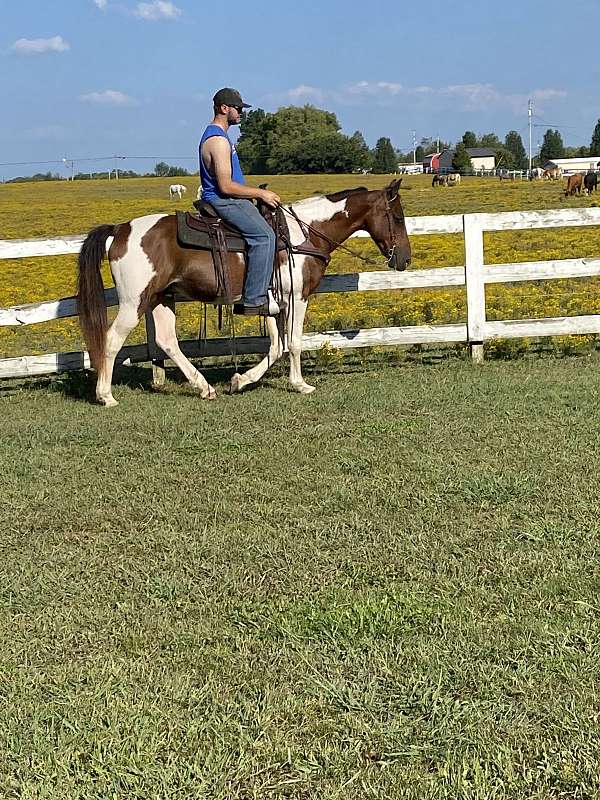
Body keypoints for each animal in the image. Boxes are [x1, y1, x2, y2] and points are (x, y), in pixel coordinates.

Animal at [77, 181, 410, 406]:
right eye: (397, 218)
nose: (405, 259)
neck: (303, 235)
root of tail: (120, 229)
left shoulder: (274, 303)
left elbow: (277, 346)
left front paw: (240, 381)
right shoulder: (298, 298)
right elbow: (295, 342)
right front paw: (301, 385)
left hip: (161, 298)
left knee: (167, 341)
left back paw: (204, 387)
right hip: (134, 301)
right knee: (111, 340)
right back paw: (105, 395)